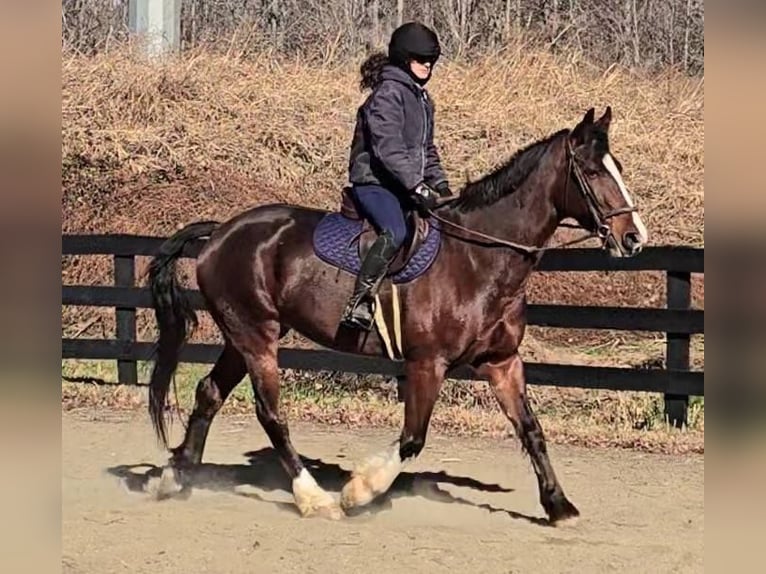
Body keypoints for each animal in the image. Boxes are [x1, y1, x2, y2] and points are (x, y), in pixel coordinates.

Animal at [146, 106, 648, 525]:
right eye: (591, 171)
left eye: (618, 169)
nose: (634, 238)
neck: (477, 258)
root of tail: (220, 233)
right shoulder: (428, 364)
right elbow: (412, 438)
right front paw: (360, 491)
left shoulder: (502, 362)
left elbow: (531, 429)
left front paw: (559, 506)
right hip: (256, 337)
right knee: (271, 413)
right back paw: (315, 498)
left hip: (241, 337)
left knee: (209, 393)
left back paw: (175, 477)